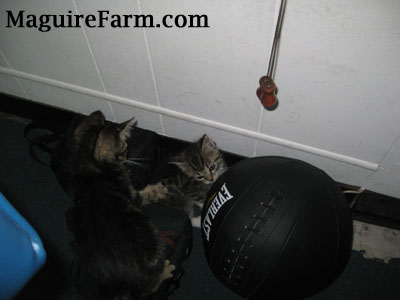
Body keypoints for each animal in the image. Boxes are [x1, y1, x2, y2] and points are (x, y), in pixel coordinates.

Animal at [66, 110, 174, 300]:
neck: (91, 168)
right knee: (148, 287)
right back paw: (165, 272)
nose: (125, 158)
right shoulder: (131, 194)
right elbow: (145, 193)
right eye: (124, 148)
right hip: (152, 240)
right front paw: (158, 189)